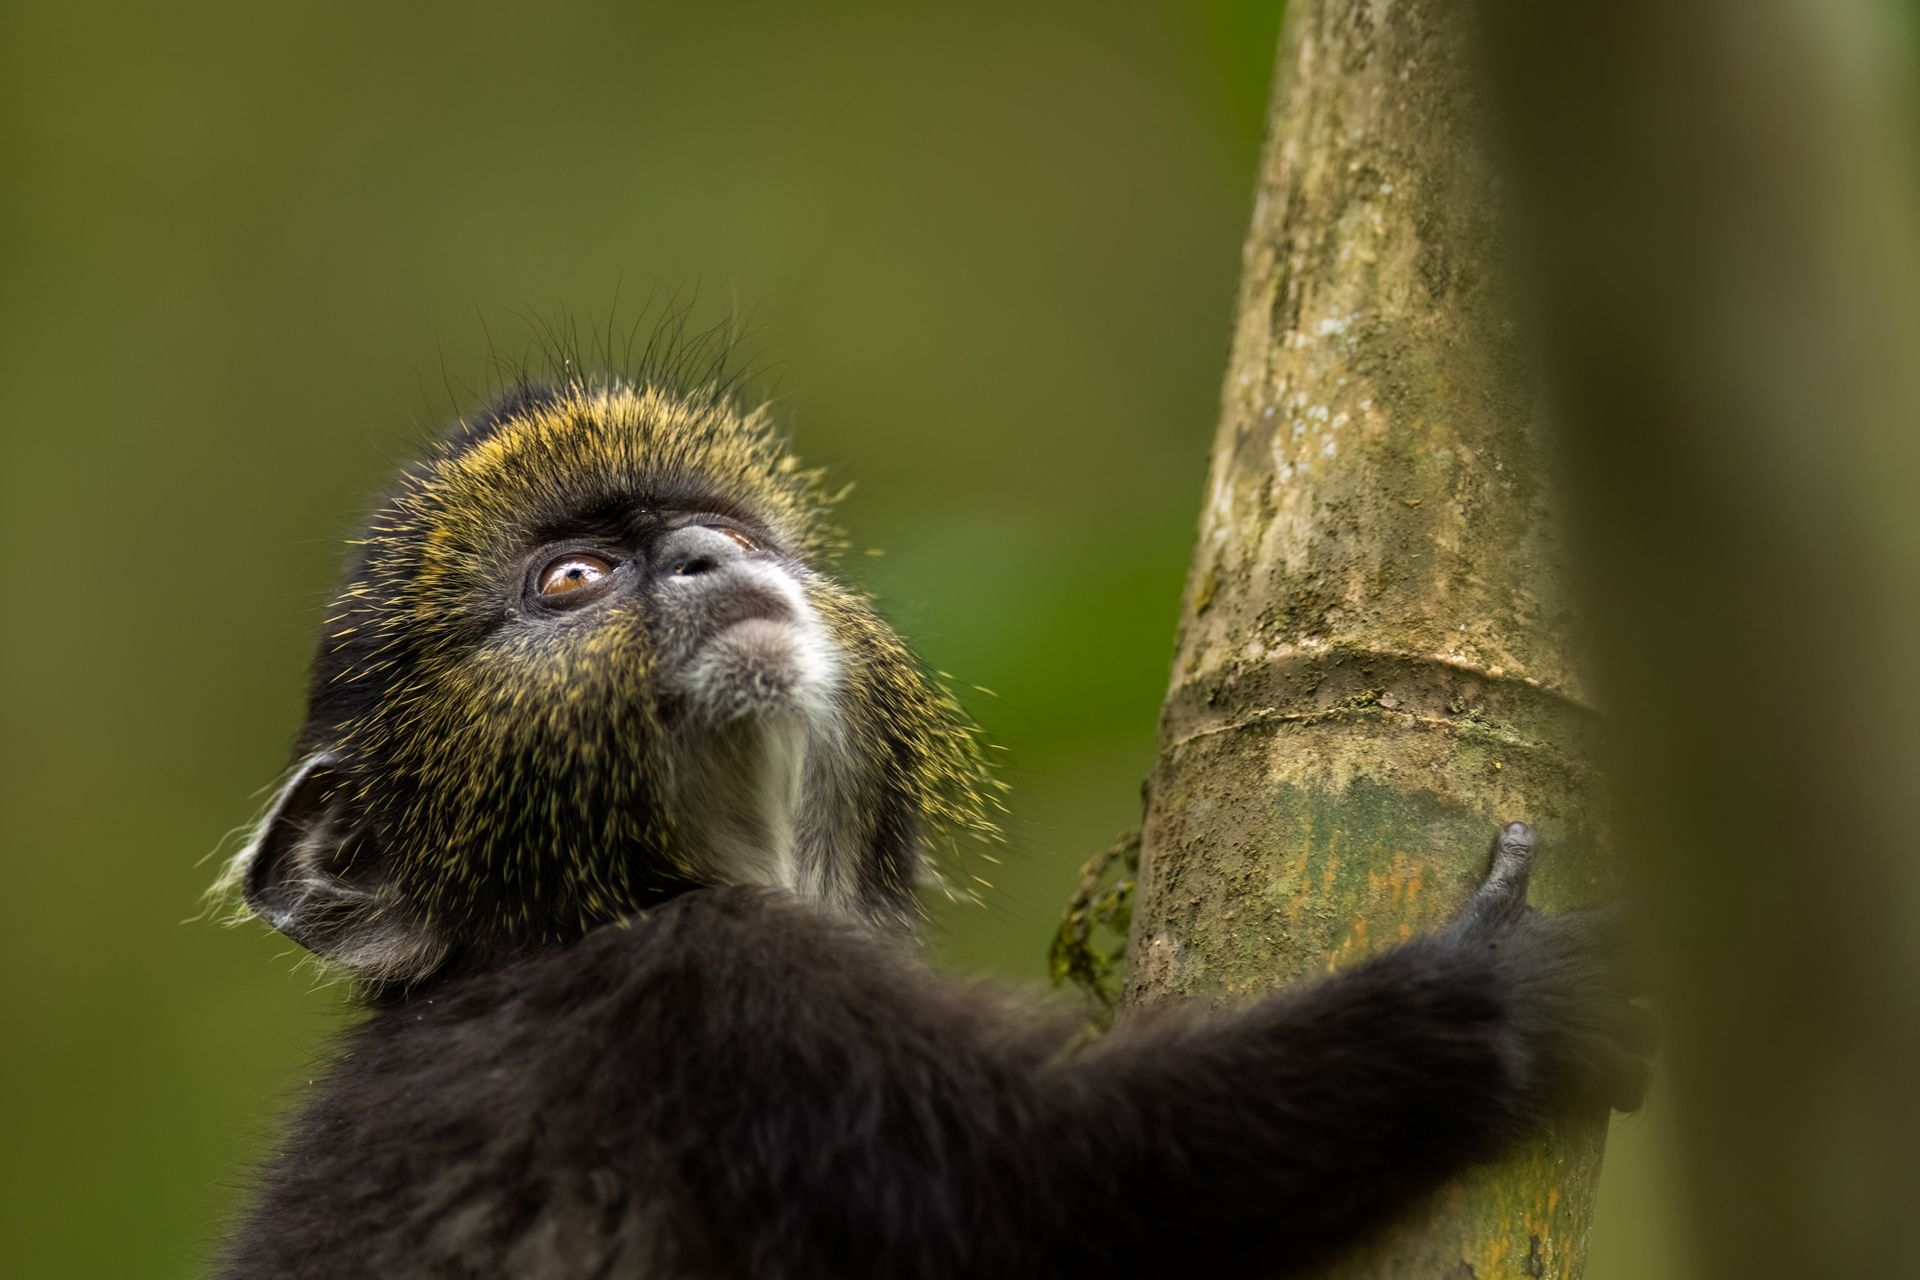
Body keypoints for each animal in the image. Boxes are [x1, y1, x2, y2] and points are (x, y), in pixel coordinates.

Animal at [213, 376, 1649, 1278]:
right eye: (573, 579)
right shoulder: (717, 991)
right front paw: (1497, 996)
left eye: (717, 530)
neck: (563, 923)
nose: (709, 557)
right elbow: (1060, 1188)